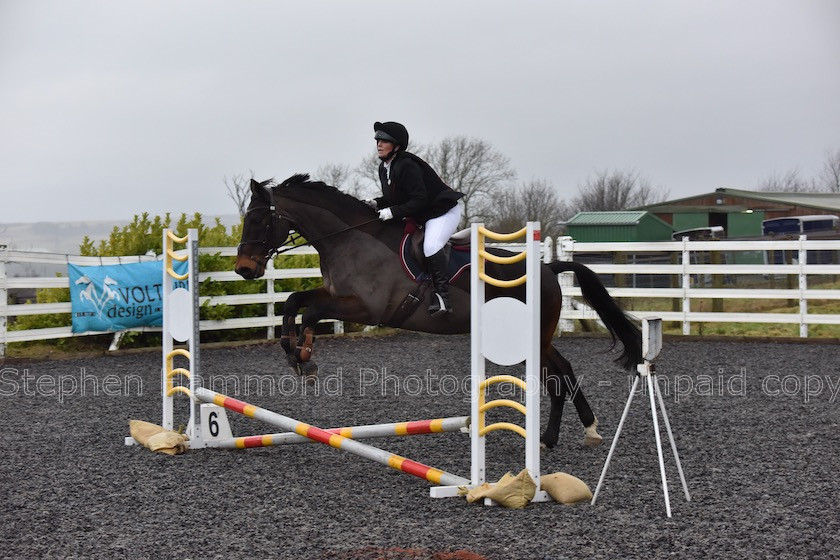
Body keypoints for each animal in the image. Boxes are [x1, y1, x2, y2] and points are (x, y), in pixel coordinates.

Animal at [233, 173, 640, 448]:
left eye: (258, 219)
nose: (244, 269)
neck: (349, 238)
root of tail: (549, 269)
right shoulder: (336, 296)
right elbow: (293, 301)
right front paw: (293, 354)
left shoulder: (365, 308)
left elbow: (311, 312)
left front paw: (305, 357)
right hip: (536, 335)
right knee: (563, 370)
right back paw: (583, 430)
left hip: (533, 335)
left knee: (555, 377)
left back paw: (553, 436)